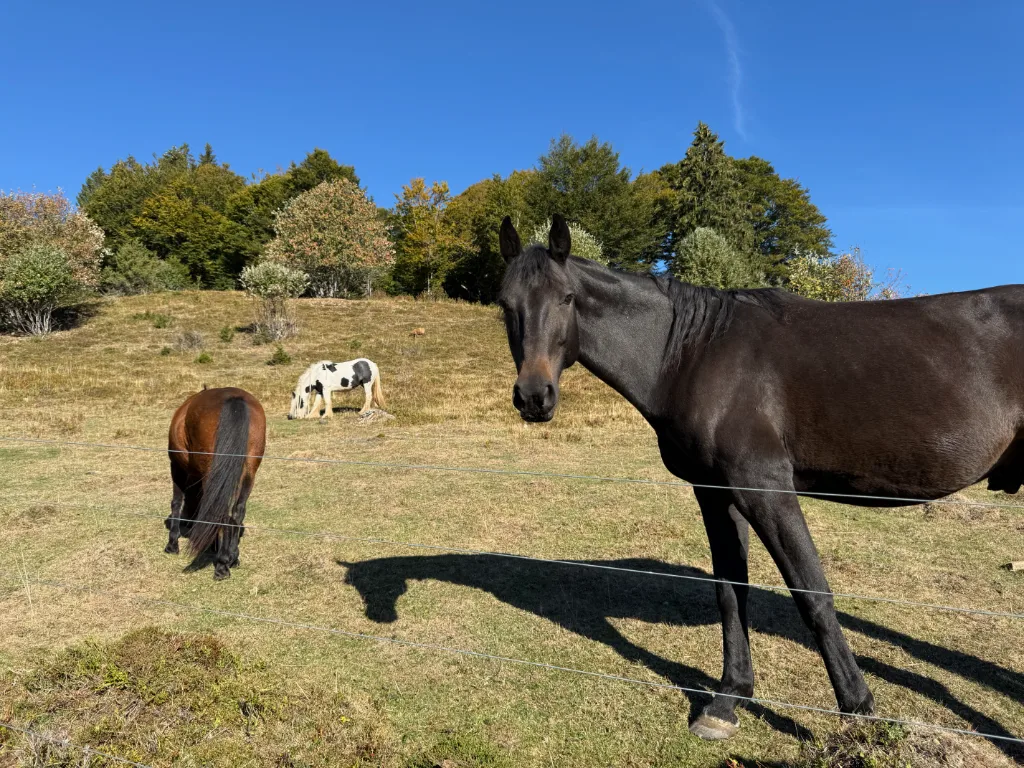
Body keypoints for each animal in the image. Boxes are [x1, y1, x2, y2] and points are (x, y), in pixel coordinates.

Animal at [164, 387, 267, 580]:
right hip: (249, 472)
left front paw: (172, 544)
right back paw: (231, 557)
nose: (188, 523)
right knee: (237, 511)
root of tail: (234, 398)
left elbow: (176, 502)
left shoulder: (177, 468)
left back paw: (222, 565)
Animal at [496, 214, 1024, 740]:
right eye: (506, 304)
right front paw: (729, 698)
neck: (692, 353)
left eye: (567, 298)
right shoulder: (716, 494)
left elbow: (812, 595)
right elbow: (731, 592)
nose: (534, 397)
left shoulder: (764, 489)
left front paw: (858, 710)